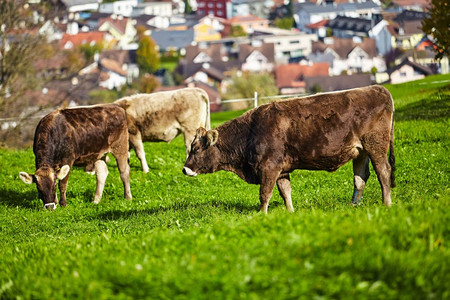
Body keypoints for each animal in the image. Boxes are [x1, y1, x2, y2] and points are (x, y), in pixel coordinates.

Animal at [182, 85, 394, 213]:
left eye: (197, 148)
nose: (185, 169)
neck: (251, 132)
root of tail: (378, 88)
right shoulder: (281, 170)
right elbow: (285, 192)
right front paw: (290, 212)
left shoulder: (269, 167)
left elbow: (264, 194)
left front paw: (262, 214)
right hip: (361, 152)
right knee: (360, 178)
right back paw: (354, 205)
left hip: (376, 145)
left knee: (383, 172)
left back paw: (387, 203)